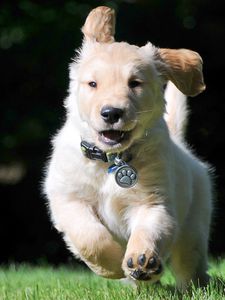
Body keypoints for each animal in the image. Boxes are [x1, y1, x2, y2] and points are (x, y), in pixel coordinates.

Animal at [44, 5, 213, 290]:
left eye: (135, 83)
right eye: (92, 84)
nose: (112, 112)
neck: (111, 160)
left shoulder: (154, 203)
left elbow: (148, 231)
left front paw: (141, 259)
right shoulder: (68, 198)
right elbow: (91, 238)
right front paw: (113, 264)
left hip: (193, 230)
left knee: (191, 269)